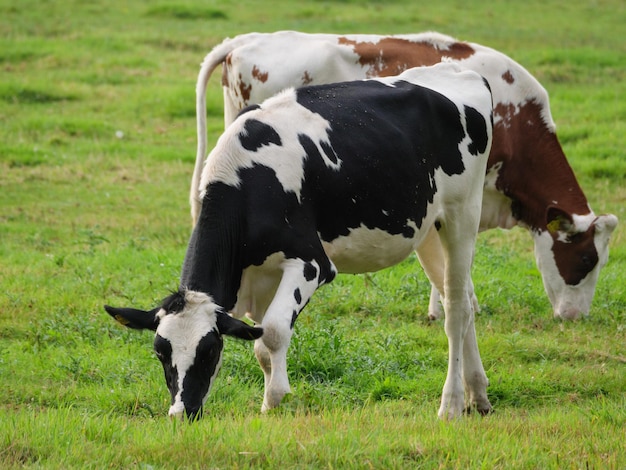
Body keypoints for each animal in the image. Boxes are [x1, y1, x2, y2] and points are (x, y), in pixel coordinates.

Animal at [106, 63, 492, 422]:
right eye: (161, 351)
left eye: (209, 350)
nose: (181, 413)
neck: (251, 179)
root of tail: (458, 69)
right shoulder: (259, 276)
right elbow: (261, 343)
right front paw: (272, 395)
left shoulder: (311, 262)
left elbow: (273, 333)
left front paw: (275, 400)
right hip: (427, 229)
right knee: (461, 298)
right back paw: (478, 395)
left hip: (462, 214)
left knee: (457, 310)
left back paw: (451, 405)